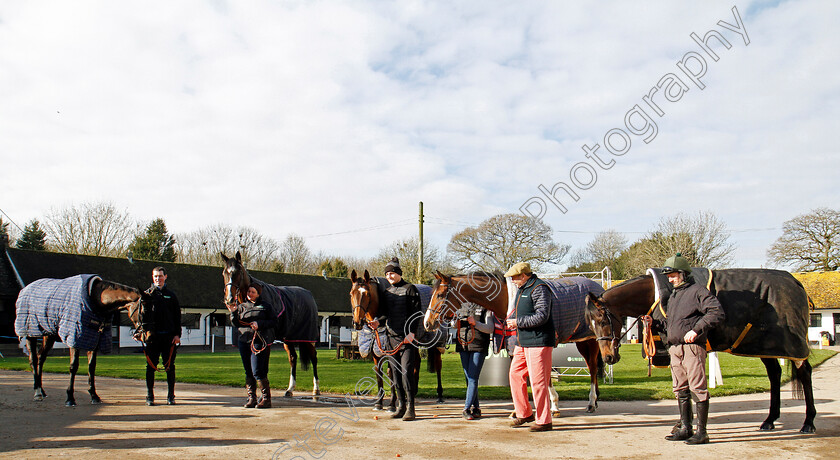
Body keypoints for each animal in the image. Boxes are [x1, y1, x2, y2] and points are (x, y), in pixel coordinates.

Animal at [13, 274, 148, 404]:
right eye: (144, 311)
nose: (145, 335)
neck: (95, 299)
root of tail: (25, 289)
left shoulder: (94, 339)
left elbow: (91, 366)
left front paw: (94, 395)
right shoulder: (75, 338)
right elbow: (73, 366)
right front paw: (70, 397)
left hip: (48, 335)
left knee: (40, 358)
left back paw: (42, 390)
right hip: (30, 333)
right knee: (33, 360)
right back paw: (37, 393)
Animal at [221, 250, 320, 398]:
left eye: (237, 272)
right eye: (224, 273)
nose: (229, 299)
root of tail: (309, 295)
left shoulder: (265, 341)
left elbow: (263, 367)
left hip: (308, 337)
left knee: (314, 357)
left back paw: (316, 388)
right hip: (288, 338)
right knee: (293, 358)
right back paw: (290, 389)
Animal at [350, 270, 446, 410]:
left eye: (367, 294)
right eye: (351, 293)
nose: (357, 322)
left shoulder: (391, 351)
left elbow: (391, 374)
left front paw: (392, 403)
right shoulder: (374, 351)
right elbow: (379, 374)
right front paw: (379, 402)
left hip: (435, 343)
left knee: (438, 366)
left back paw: (439, 395)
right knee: (416, 362)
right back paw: (413, 392)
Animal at [424, 272, 608, 416]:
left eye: (440, 295)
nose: (427, 323)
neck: (507, 300)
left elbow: (543, 375)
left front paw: (553, 405)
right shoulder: (514, 348)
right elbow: (519, 375)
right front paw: (520, 409)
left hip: (592, 340)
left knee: (592, 368)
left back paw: (591, 402)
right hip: (582, 341)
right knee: (591, 366)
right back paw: (595, 400)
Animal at [588, 268, 816, 434]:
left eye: (602, 321)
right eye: (591, 324)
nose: (608, 357)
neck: (655, 294)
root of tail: (796, 283)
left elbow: (687, 387)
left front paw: (684, 426)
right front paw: (682, 425)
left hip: (791, 347)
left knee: (804, 373)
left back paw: (808, 422)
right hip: (765, 347)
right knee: (775, 374)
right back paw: (769, 420)